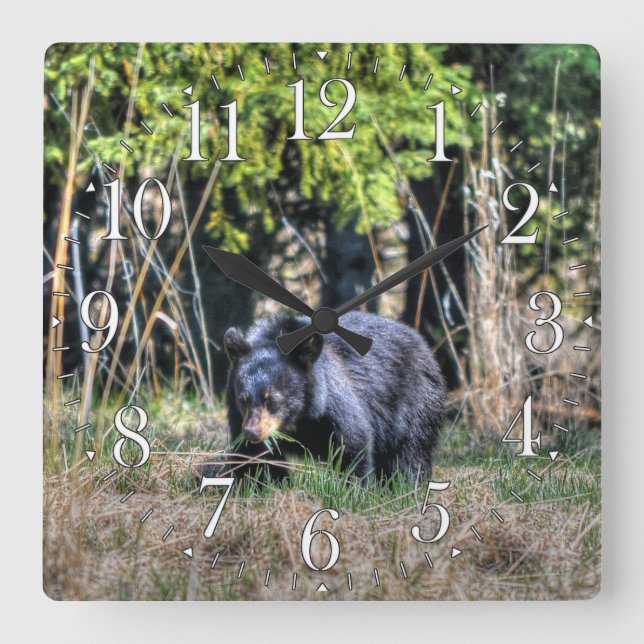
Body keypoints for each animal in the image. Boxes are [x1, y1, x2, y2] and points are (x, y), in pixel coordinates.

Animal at [222, 311, 445, 480]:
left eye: (272, 399)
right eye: (243, 399)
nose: (252, 432)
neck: (298, 418)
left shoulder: (333, 404)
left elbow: (353, 443)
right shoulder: (238, 416)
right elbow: (255, 459)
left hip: (414, 403)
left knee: (409, 452)